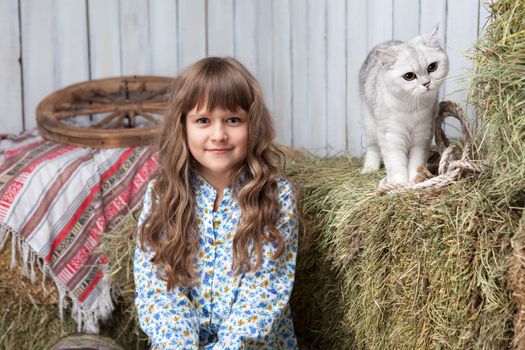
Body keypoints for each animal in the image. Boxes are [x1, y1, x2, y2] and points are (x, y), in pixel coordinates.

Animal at [358, 26, 448, 185]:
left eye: (432, 67)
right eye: (409, 76)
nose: (426, 83)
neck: (412, 108)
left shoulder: (422, 136)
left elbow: (415, 163)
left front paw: (413, 181)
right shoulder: (391, 136)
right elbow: (396, 165)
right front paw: (397, 184)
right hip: (369, 126)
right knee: (373, 148)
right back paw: (370, 168)